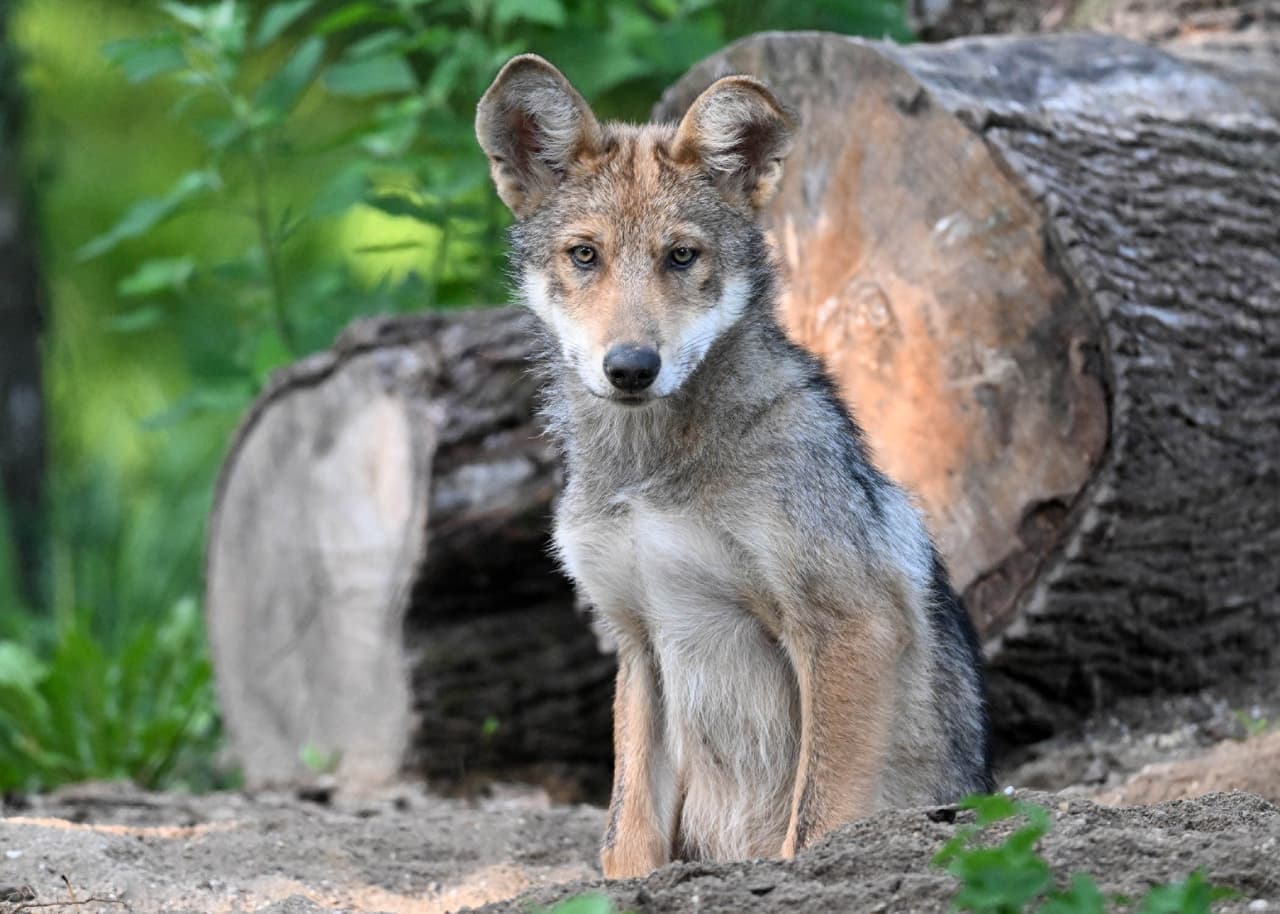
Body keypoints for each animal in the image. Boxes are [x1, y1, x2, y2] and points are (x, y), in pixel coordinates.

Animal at [475, 54, 993, 878]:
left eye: (681, 256)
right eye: (585, 255)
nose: (631, 367)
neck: (651, 473)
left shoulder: (849, 623)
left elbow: (813, 827)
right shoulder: (639, 641)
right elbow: (627, 840)